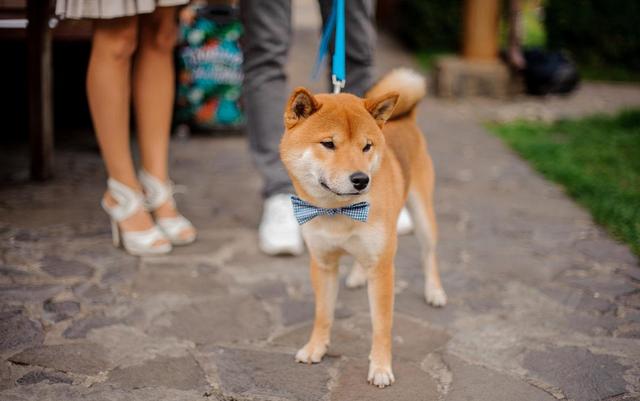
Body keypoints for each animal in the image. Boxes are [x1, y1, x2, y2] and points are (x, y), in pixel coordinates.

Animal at [280, 69, 444, 388]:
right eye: (328, 144)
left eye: (366, 146)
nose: (361, 179)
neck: (338, 211)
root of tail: (406, 117)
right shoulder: (322, 263)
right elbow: (323, 314)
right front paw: (315, 348)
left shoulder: (382, 268)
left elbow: (381, 325)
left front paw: (380, 368)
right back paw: (357, 276)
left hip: (422, 215)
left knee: (429, 254)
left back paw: (435, 291)